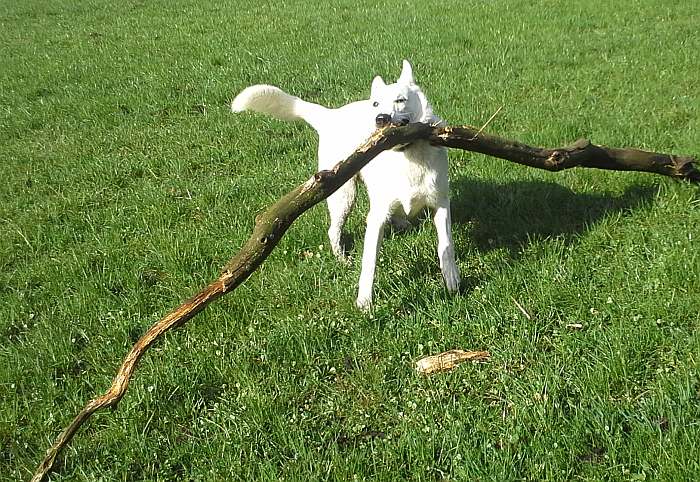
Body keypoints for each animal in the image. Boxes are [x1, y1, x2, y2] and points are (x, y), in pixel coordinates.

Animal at [231, 60, 460, 310]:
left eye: (400, 100)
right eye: (376, 103)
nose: (380, 118)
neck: (406, 155)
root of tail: (332, 115)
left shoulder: (441, 203)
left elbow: (446, 245)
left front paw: (452, 280)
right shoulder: (376, 218)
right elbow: (369, 262)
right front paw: (364, 302)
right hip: (343, 193)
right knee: (334, 230)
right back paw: (342, 259)